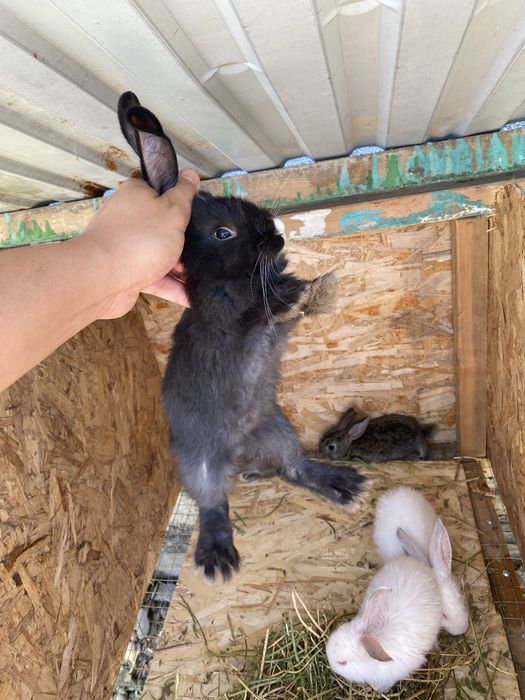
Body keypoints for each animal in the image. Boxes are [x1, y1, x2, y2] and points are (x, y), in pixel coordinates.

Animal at [117, 92, 365, 581]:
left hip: (277, 430)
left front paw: (310, 285)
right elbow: (265, 313)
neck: (229, 281)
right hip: (201, 462)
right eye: (224, 233)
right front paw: (301, 291)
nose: (277, 235)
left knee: (293, 471)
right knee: (214, 503)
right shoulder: (240, 323)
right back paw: (217, 556)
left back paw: (342, 485)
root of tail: (238, 453)